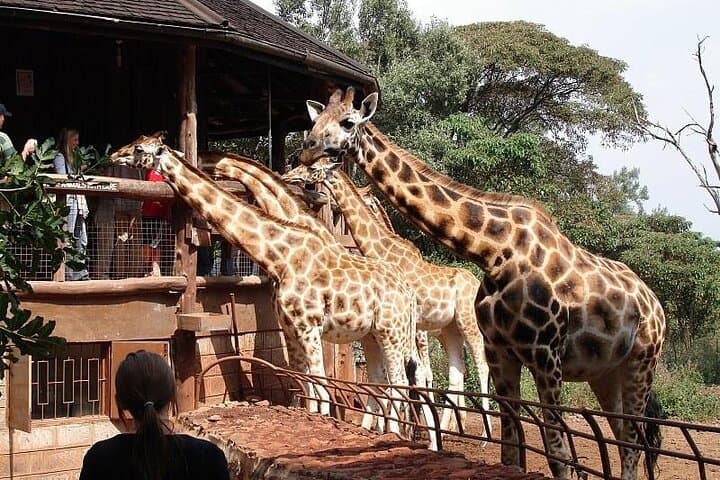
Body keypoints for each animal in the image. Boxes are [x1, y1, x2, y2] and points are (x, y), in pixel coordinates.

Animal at [110, 134, 428, 435]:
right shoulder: (290, 328)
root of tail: (407, 291)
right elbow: (306, 387)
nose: (113, 155)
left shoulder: (310, 327)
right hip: (372, 335)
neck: (279, 257)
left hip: (392, 332)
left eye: (139, 149)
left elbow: (322, 387)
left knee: (403, 381)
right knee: (386, 380)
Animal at [282, 158, 492, 438]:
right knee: (457, 373)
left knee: (481, 365)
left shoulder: (410, 325)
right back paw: (449, 428)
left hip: (469, 323)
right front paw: (397, 427)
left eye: (313, 168)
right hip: (449, 329)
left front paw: (402, 428)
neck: (384, 251)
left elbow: (412, 374)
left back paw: (483, 436)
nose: (288, 176)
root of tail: (476, 283)